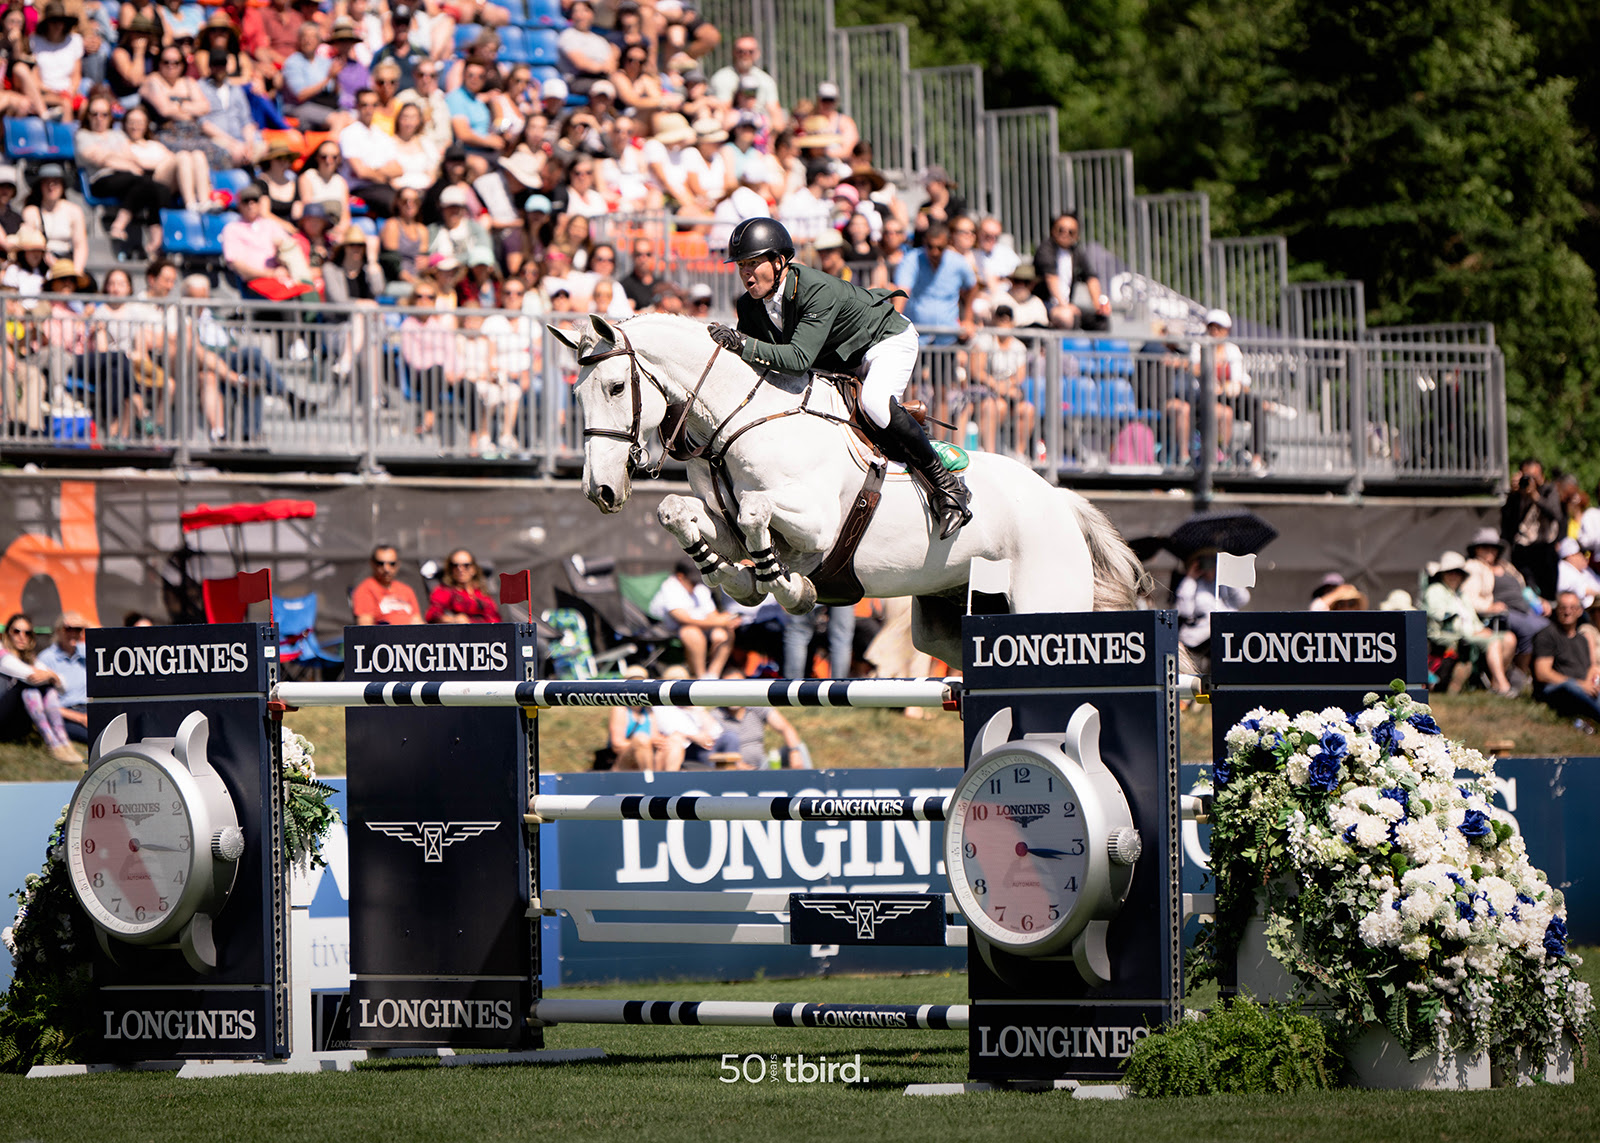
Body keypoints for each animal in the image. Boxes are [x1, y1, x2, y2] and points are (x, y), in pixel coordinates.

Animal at [556, 312, 1145, 669]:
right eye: (576, 395)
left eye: (615, 387)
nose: (600, 491)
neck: (738, 418)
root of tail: (1059, 499)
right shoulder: (720, 518)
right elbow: (679, 513)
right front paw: (743, 582)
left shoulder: (814, 521)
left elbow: (756, 513)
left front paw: (787, 586)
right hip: (947, 621)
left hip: (1043, 601)